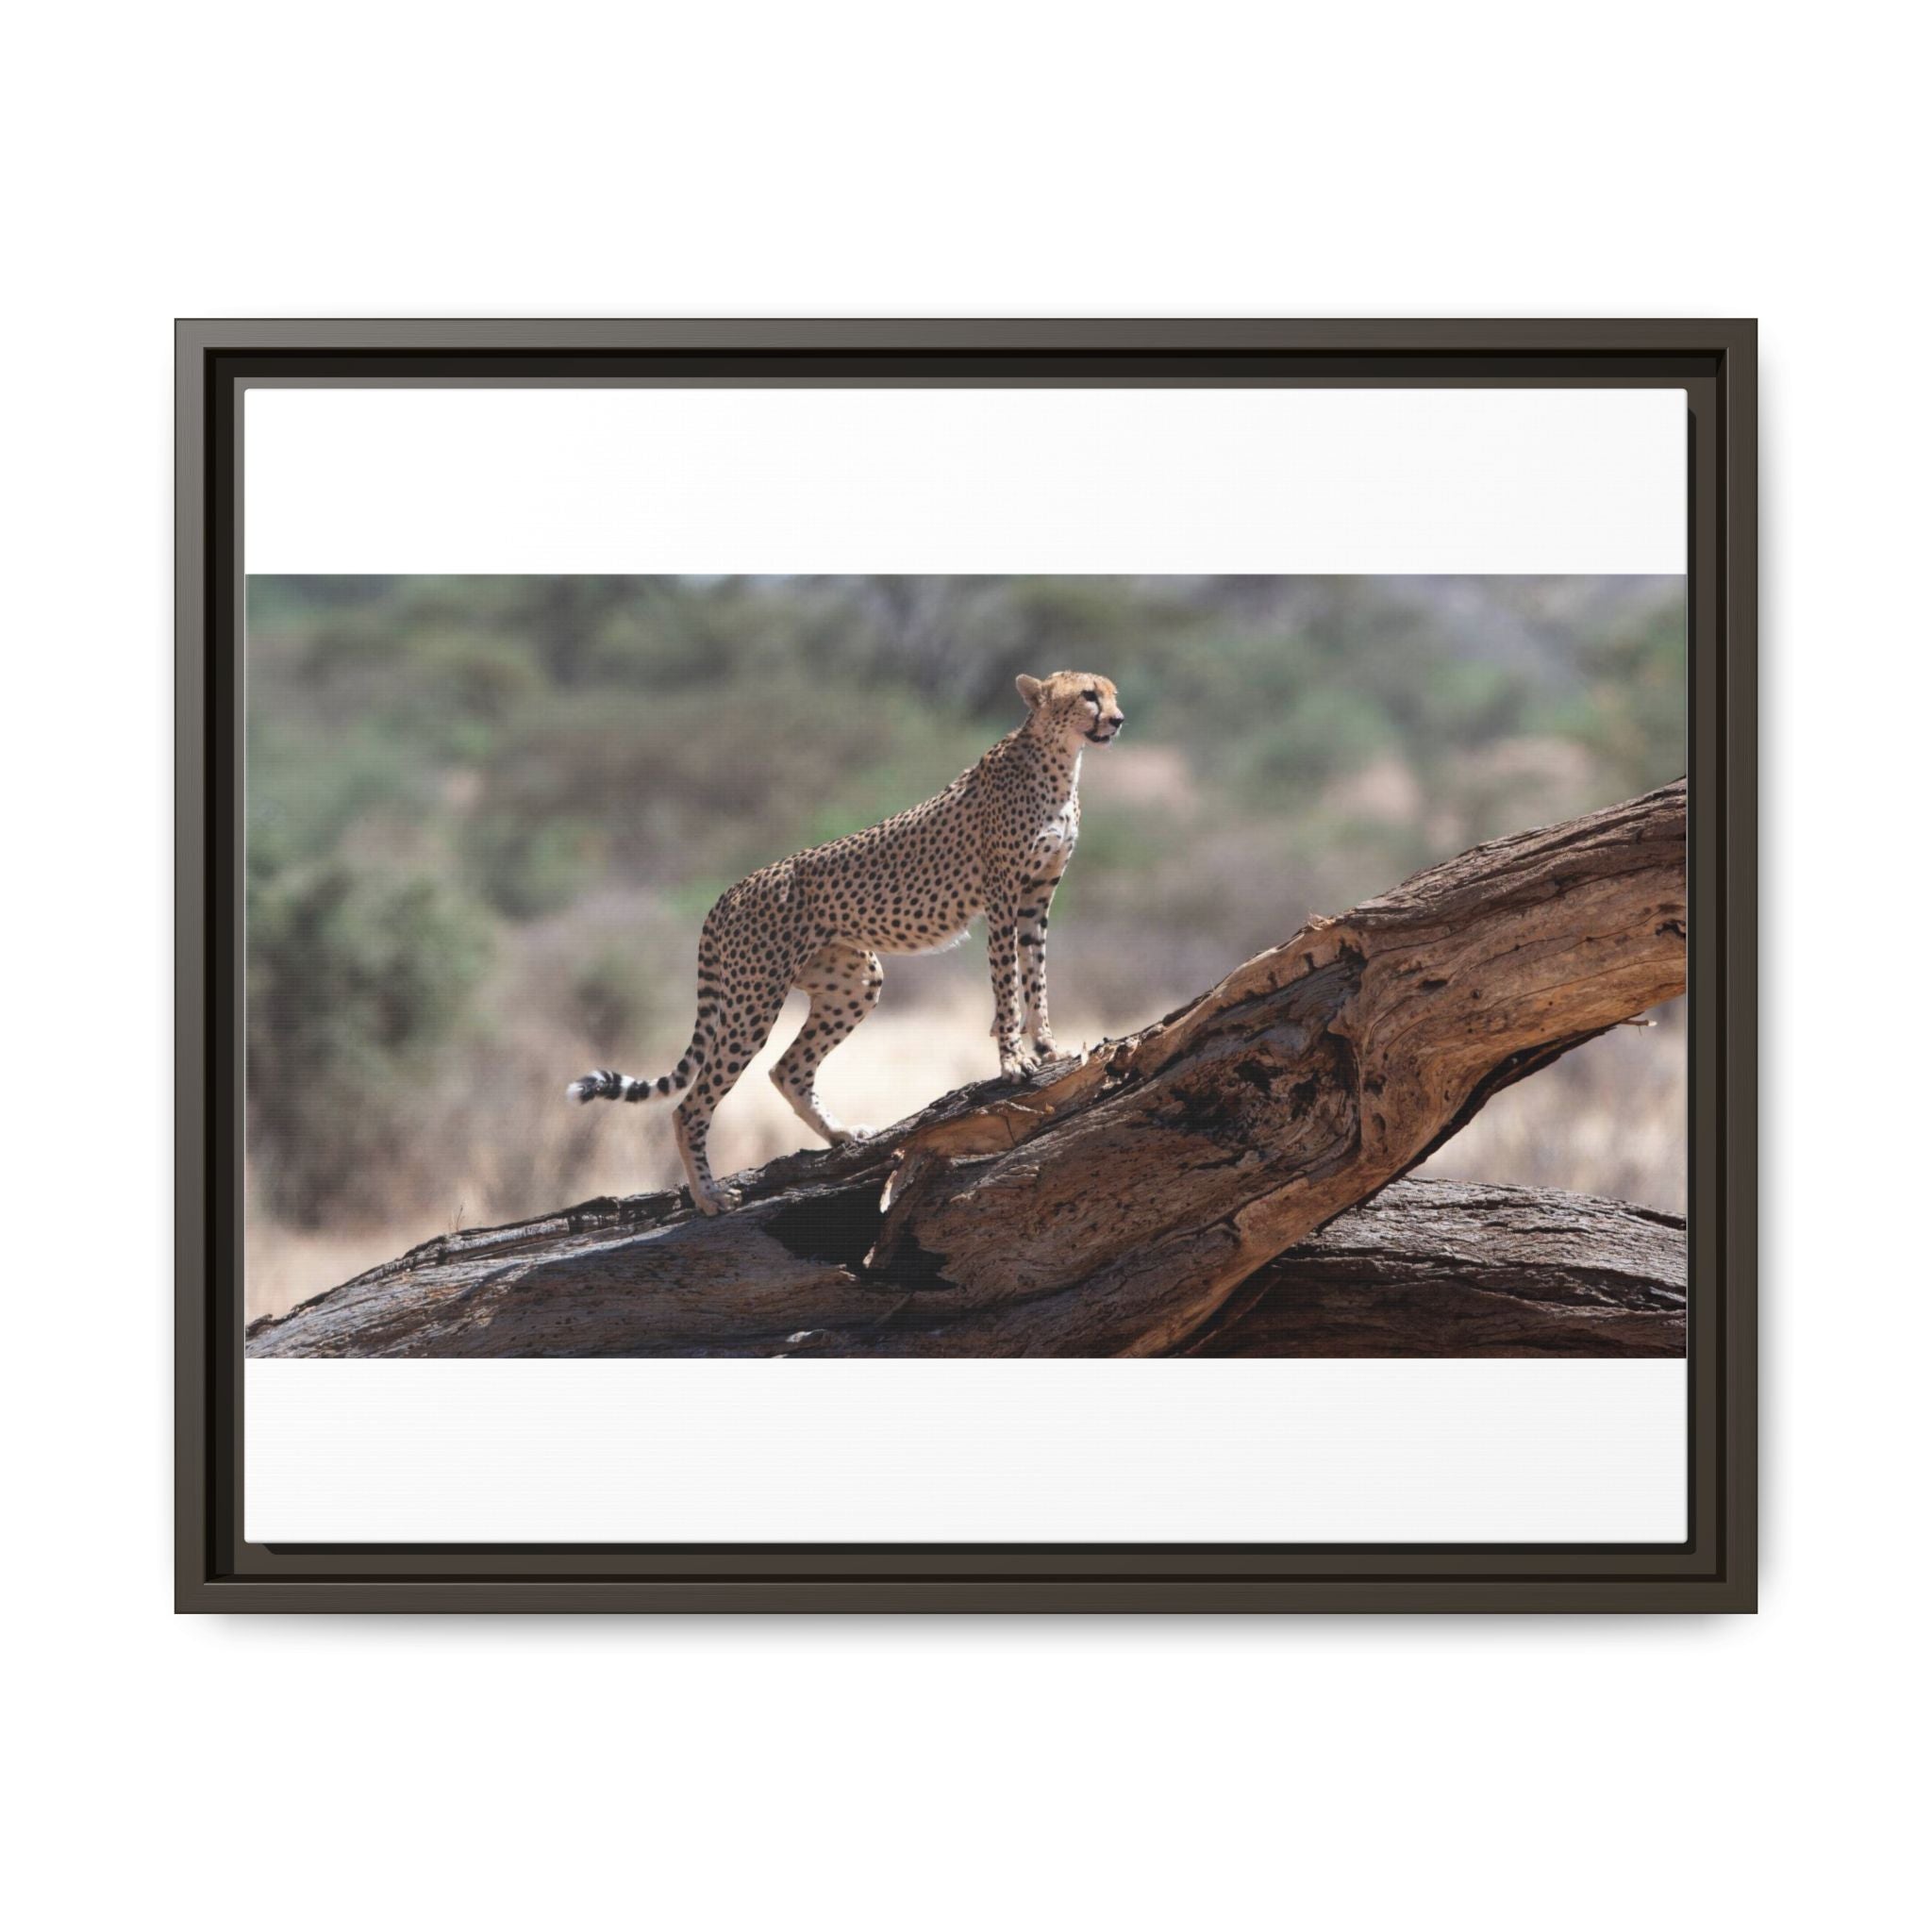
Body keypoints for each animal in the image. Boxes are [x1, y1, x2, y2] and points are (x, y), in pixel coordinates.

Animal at [567, 669, 1127, 1214]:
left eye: (1112, 693)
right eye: (1088, 695)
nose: (1118, 720)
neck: (1060, 760)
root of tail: (731, 890)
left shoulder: (1036, 898)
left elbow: (1036, 976)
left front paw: (1048, 1047)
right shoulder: (1003, 897)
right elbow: (1007, 984)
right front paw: (1013, 1061)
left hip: (854, 980)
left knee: (787, 1069)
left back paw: (840, 1135)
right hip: (754, 999)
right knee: (691, 1103)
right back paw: (709, 1196)